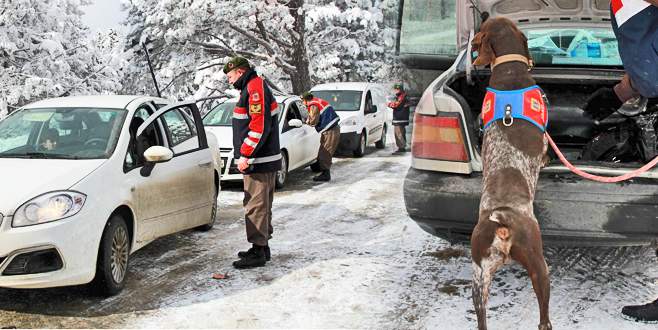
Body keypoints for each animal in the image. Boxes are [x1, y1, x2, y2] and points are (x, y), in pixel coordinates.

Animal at [468, 17, 552, 330]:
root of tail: (501, 222)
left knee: (482, 321)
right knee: (544, 321)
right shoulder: (544, 142)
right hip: (539, 265)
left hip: (479, 278)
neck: (509, 69)